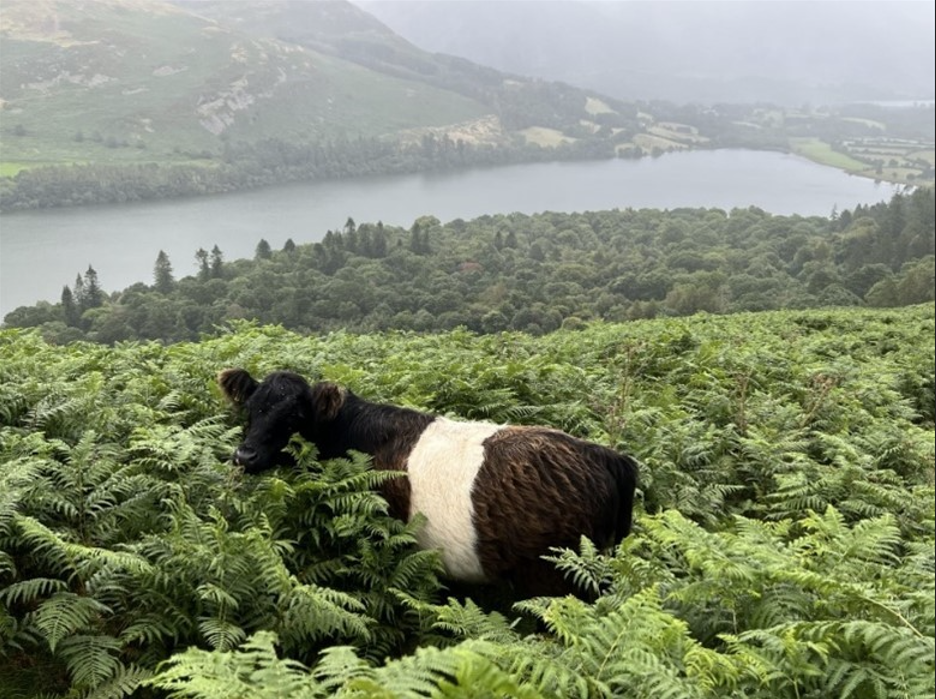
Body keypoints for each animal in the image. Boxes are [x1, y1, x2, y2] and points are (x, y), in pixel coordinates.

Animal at [219, 368, 638, 597]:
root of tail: (603, 455)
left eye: (294, 417)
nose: (245, 455)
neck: (359, 437)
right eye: (251, 409)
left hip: (555, 578)